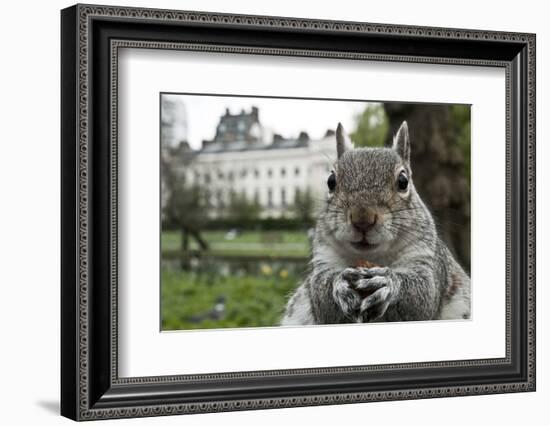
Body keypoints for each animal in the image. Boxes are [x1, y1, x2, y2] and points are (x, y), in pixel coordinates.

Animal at [284, 121, 470, 324]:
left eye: (403, 181)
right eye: (331, 181)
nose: (362, 219)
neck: (373, 257)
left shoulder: (427, 259)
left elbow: (423, 296)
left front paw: (388, 283)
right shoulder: (324, 259)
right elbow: (321, 298)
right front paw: (340, 283)